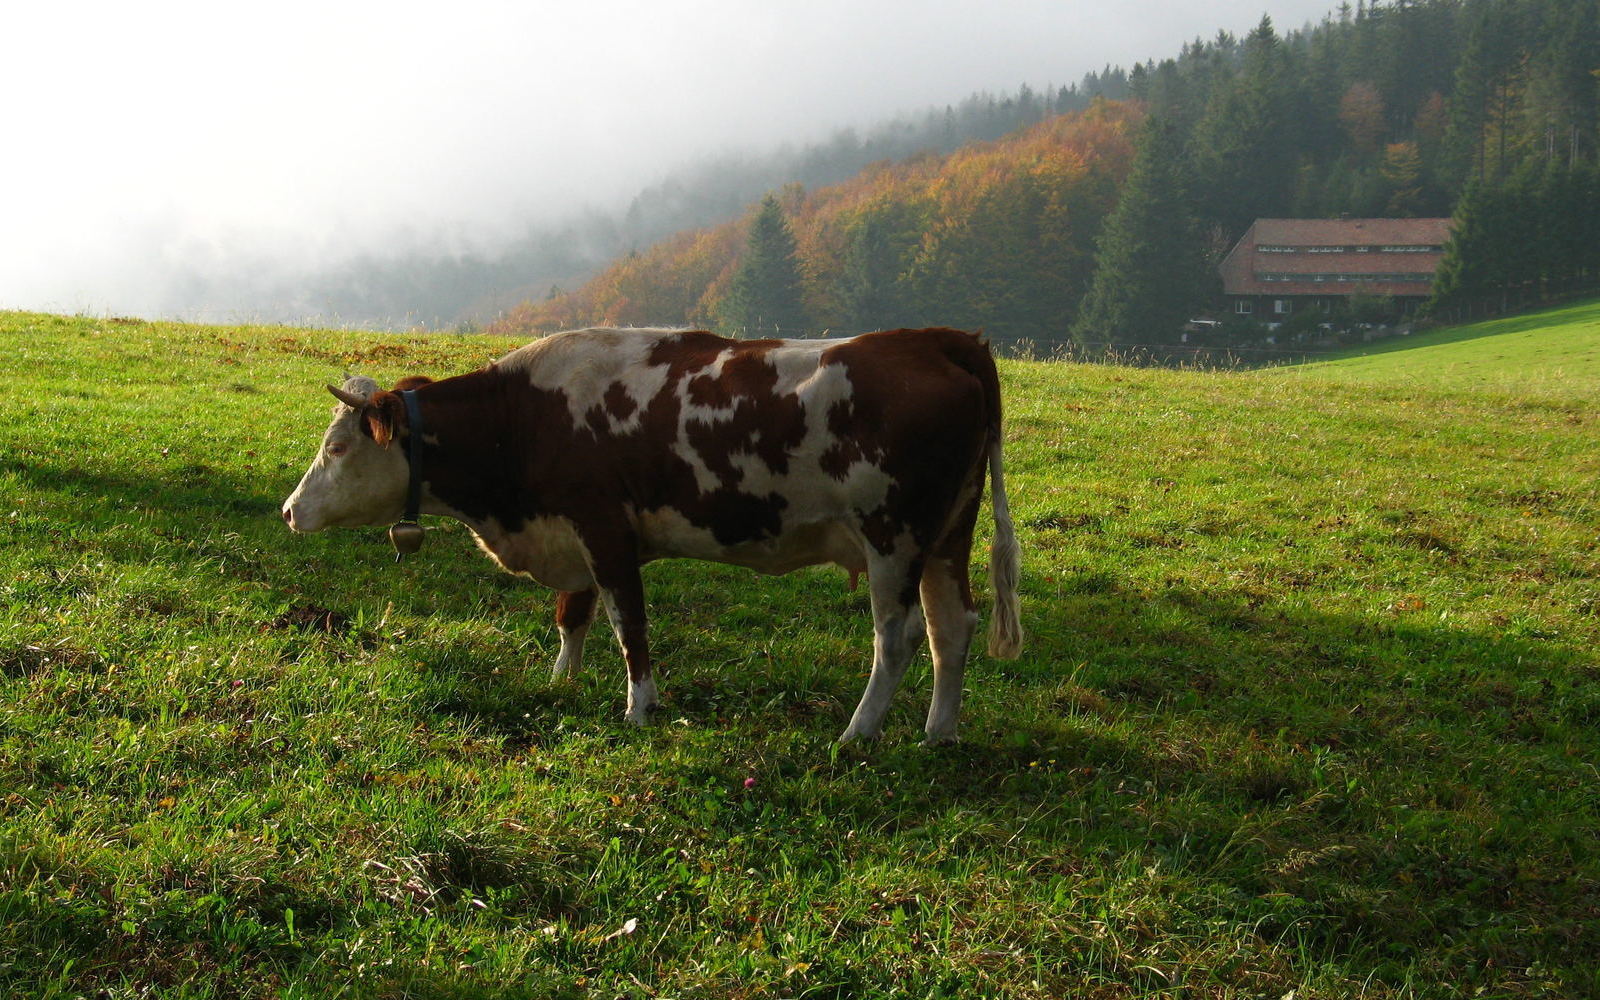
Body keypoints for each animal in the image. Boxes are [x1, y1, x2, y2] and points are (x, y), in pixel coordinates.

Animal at [281, 328, 1017, 742]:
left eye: (339, 446)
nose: (290, 511)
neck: (525, 417)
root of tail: (937, 337)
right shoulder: (571, 533)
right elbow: (572, 615)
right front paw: (561, 683)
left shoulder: (604, 525)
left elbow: (625, 622)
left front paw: (639, 707)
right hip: (946, 536)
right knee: (952, 626)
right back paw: (940, 733)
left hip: (893, 535)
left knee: (897, 638)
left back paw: (858, 733)